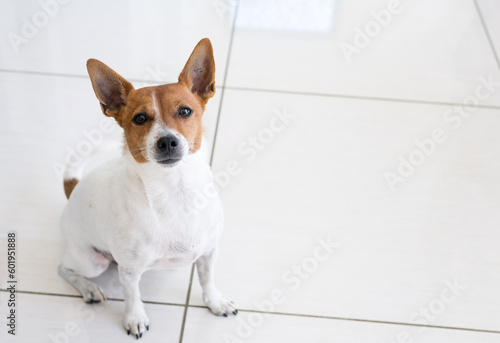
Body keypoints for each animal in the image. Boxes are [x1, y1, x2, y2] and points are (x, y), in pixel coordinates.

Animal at [57, 37, 237, 338]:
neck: (175, 192)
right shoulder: (129, 271)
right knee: (63, 268)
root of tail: (74, 190)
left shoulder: (209, 252)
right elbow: (133, 296)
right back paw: (90, 289)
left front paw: (215, 301)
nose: (167, 141)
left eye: (185, 111)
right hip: (93, 262)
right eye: (140, 118)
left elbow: (207, 279)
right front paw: (135, 318)